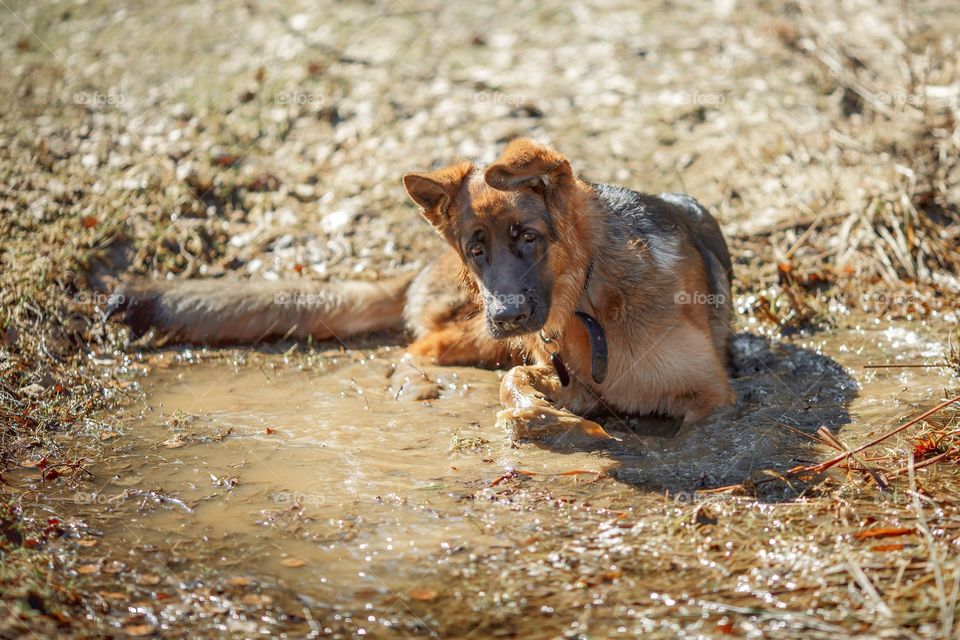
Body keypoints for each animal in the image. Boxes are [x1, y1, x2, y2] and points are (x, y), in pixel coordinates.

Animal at [112, 139, 732, 440]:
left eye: (528, 237)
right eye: (477, 249)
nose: (507, 315)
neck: (590, 301)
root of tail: (418, 267)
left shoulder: (713, 396)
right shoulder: (552, 369)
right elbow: (513, 385)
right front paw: (544, 421)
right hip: (474, 327)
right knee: (416, 347)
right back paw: (414, 383)